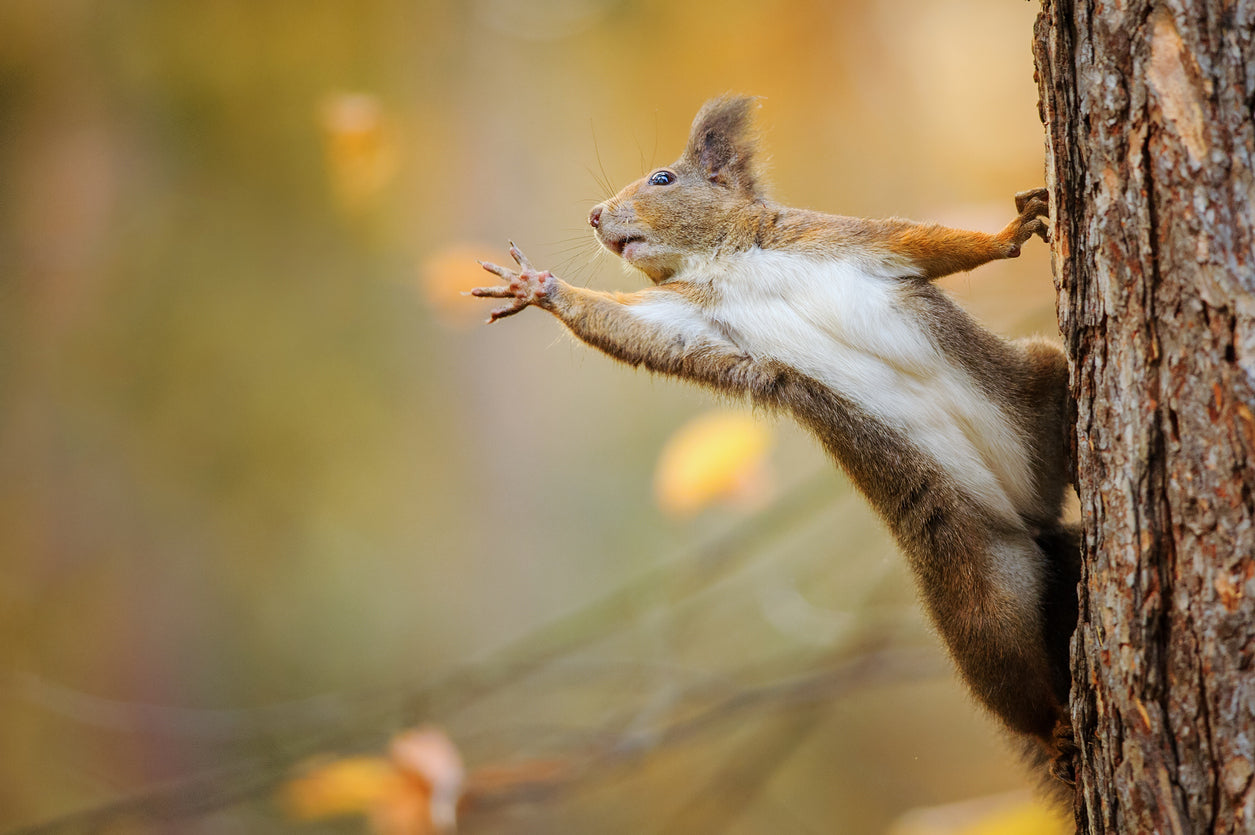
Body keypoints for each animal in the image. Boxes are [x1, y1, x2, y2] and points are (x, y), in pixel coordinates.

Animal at [471, 97, 1079, 783]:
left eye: (662, 178)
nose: (595, 215)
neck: (726, 261)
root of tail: (1033, 517)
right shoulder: (687, 318)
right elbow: (626, 327)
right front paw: (538, 287)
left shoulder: (836, 239)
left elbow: (923, 242)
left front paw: (1009, 233)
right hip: (977, 592)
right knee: (1009, 675)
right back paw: (1053, 731)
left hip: (1036, 382)